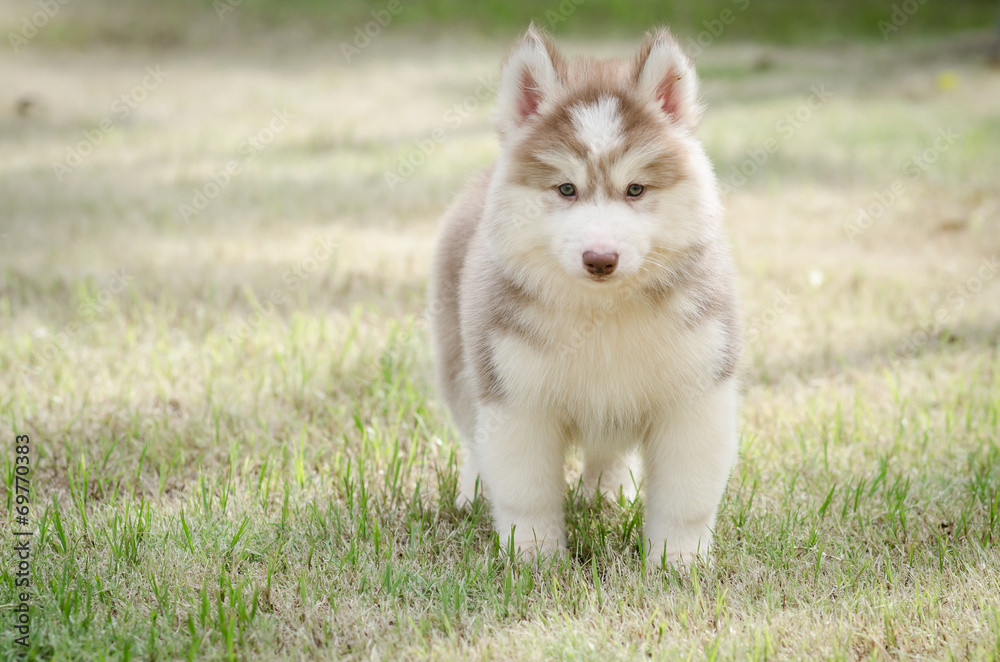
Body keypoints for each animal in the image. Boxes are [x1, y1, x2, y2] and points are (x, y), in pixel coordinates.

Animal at [430, 24, 744, 564]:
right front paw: (534, 559)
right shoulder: (516, 399)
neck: (603, 313)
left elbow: (686, 497)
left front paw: (679, 562)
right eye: (566, 189)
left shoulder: (697, 393)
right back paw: (474, 493)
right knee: (472, 435)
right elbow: (526, 494)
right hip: (463, 364)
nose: (600, 258)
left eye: (635, 189)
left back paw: (608, 495)